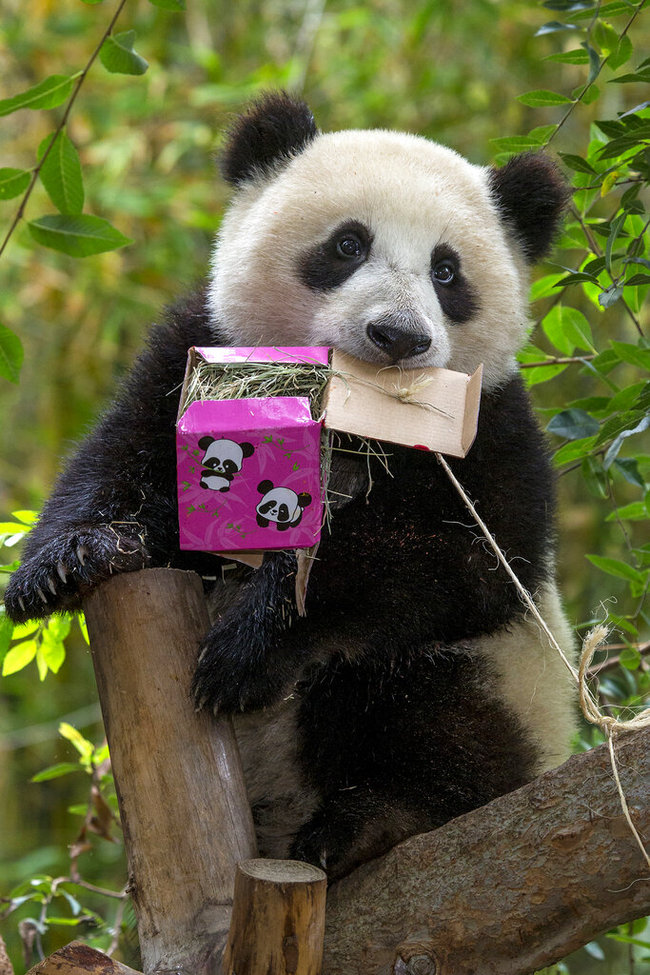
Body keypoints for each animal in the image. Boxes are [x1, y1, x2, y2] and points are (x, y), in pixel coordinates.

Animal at [3, 91, 572, 880]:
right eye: (348, 244)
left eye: (447, 272)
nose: (399, 336)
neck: (355, 409)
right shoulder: (201, 350)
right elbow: (120, 456)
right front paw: (75, 557)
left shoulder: (490, 431)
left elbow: (466, 561)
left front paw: (247, 648)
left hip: (512, 685)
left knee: (422, 702)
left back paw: (374, 820)